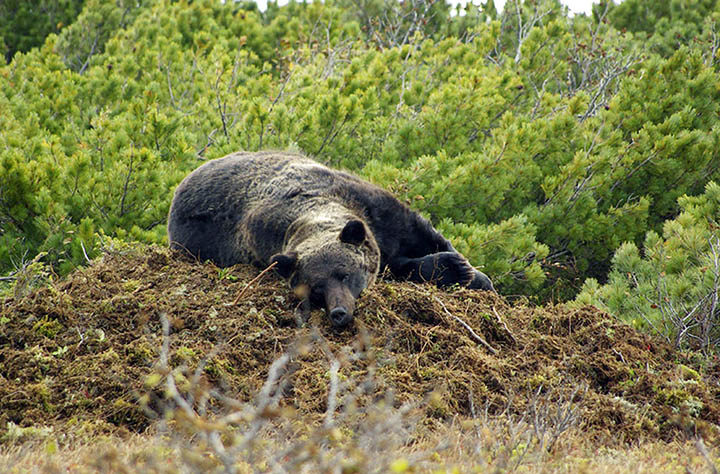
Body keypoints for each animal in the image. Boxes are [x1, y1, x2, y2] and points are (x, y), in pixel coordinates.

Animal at [167, 151, 494, 328]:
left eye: (344, 273)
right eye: (315, 289)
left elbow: (423, 234)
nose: (337, 312)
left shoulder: (372, 206)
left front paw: (472, 273)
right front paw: (453, 269)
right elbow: (401, 266)